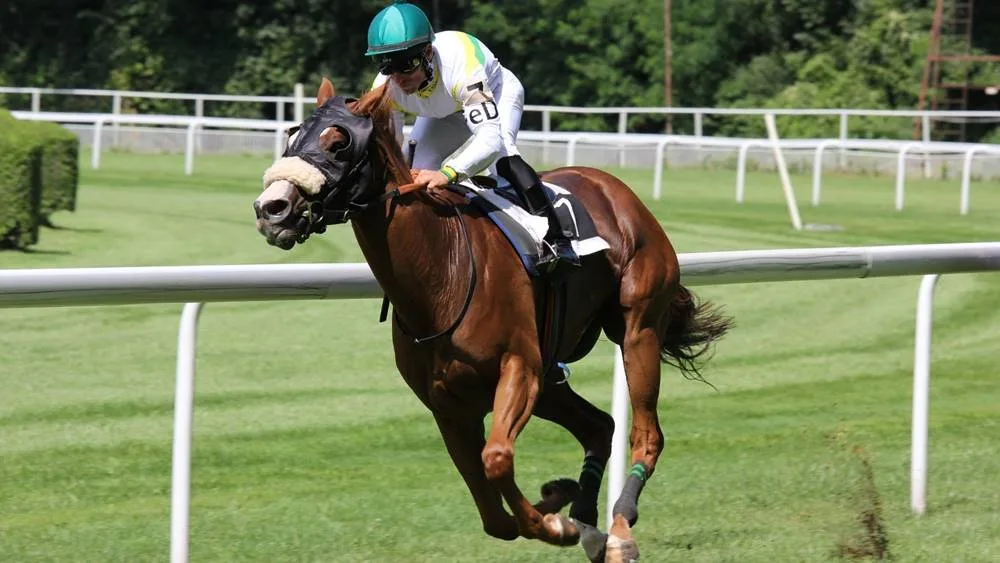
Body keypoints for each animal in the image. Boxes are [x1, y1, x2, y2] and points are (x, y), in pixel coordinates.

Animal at [253, 78, 731, 562]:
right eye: (292, 137)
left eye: (339, 143)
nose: (271, 208)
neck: (440, 273)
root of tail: (614, 187)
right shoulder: (448, 405)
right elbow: (493, 515)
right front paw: (559, 504)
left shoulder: (519, 369)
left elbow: (497, 459)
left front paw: (555, 524)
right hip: (551, 378)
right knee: (600, 426)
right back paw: (588, 522)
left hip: (637, 330)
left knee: (646, 433)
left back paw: (618, 529)